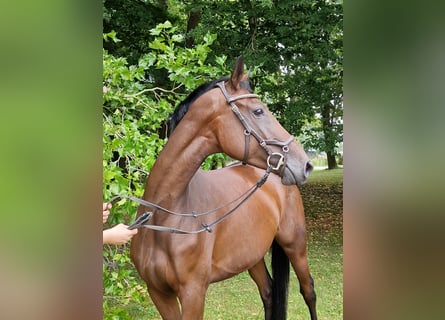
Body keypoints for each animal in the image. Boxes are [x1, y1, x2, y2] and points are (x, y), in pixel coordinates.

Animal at [128, 57, 316, 320]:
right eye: (258, 111)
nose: (306, 165)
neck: (164, 218)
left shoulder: (194, 293)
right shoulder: (158, 293)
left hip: (295, 244)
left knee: (308, 291)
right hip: (252, 255)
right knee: (268, 292)